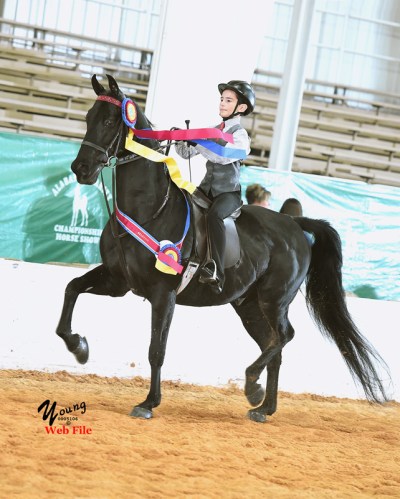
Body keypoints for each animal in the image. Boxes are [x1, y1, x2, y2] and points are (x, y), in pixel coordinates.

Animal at [56, 74, 388, 423]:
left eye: (109, 121)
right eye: (88, 117)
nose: (81, 168)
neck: (150, 209)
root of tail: (295, 225)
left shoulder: (163, 294)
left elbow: (156, 350)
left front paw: (148, 403)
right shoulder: (118, 281)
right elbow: (72, 288)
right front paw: (79, 346)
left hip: (274, 300)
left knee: (284, 337)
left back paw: (252, 383)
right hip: (248, 305)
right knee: (274, 346)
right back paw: (262, 405)